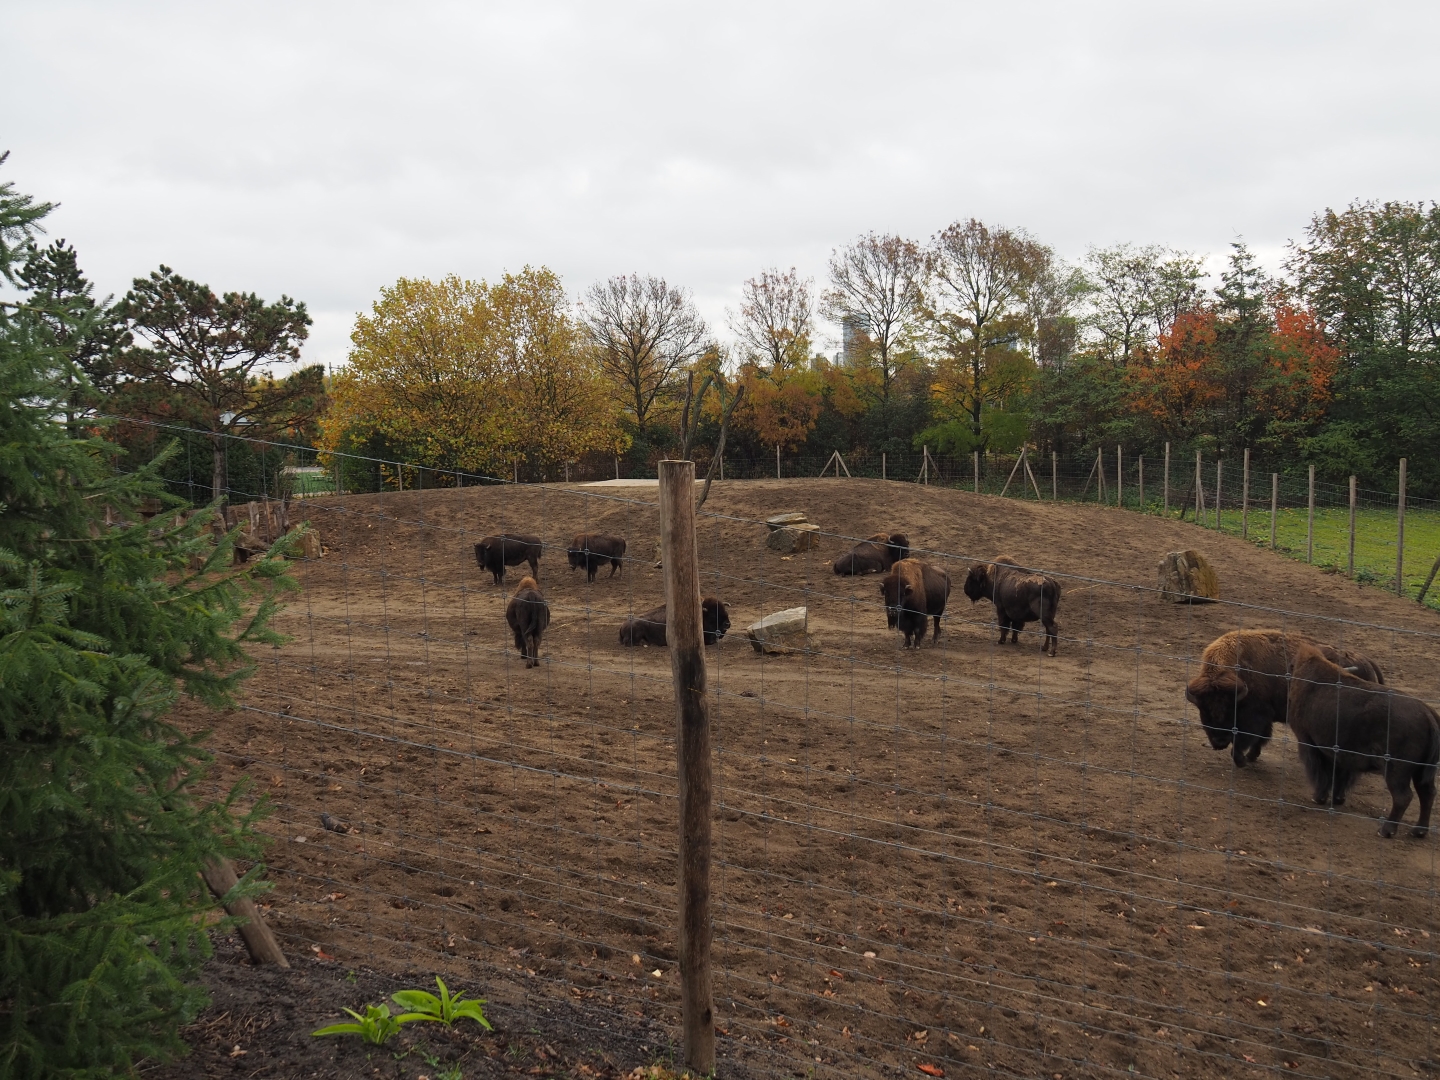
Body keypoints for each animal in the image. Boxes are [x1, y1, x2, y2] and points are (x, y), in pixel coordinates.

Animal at [1184, 629, 1386, 767]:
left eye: (1230, 708)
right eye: (1203, 710)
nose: (1219, 742)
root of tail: (1366, 660)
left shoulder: (1255, 715)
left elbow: (1248, 738)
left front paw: (1242, 760)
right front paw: (1251, 757)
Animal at [1285, 645, 1438, 837]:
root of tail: (1427, 713)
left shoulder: (1311, 743)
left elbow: (1323, 773)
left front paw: (1318, 798)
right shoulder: (1341, 752)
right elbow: (1340, 775)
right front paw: (1337, 799)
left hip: (1396, 771)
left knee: (1403, 797)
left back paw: (1386, 831)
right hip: (1421, 772)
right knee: (1427, 794)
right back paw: (1418, 831)